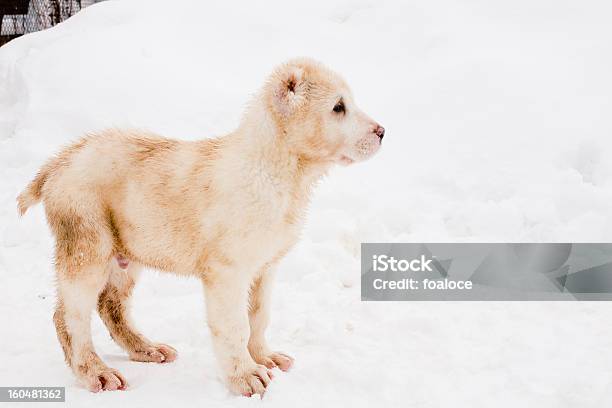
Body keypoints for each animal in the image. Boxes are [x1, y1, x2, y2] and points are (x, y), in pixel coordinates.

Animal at [17, 59, 382, 396]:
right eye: (338, 107)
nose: (382, 131)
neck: (276, 171)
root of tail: (60, 160)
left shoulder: (265, 266)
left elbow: (259, 316)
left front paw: (264, 357)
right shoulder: (227, 271)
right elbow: (235, 325)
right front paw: (245, 377)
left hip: (126, 253)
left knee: (110, 304)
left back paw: (147, 349)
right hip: (87, 243)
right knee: (70, 315)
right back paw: (96, 372)